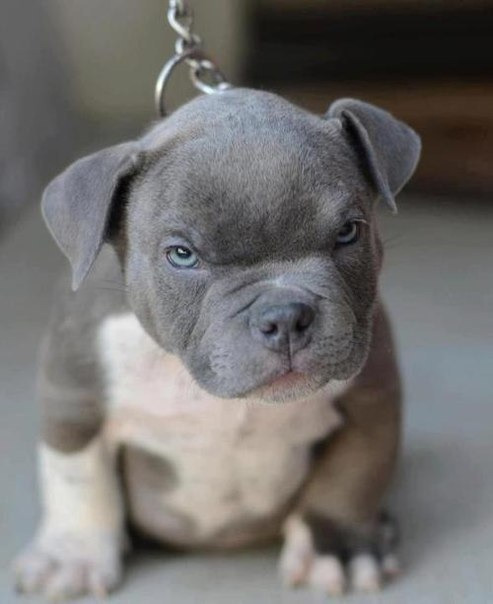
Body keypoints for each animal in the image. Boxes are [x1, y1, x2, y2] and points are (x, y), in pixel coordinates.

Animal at [12, 89, 418, 600]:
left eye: (349, 232)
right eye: (182, 255)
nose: (285, 315)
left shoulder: (372, 401)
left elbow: (351, 477)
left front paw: (338, 548)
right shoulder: (73, 401)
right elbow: (77, 478)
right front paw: (74, 554)